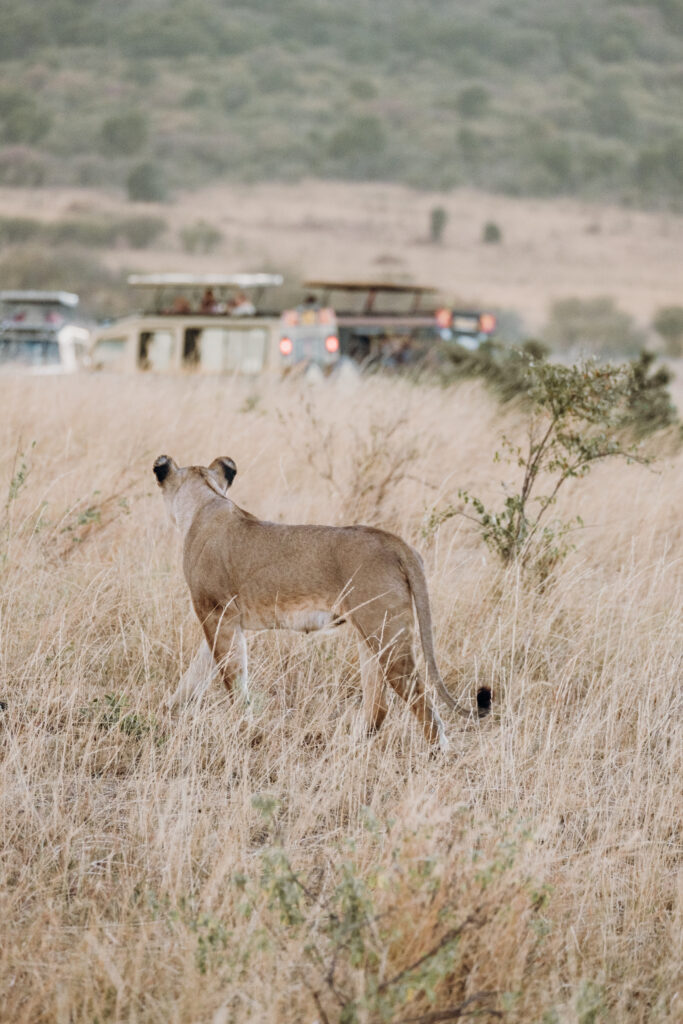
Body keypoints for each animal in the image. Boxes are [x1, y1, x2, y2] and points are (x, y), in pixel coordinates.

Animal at [153, 454, 491, 751]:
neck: (205, 502)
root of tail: (396, 542)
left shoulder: (215, 612)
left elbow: (231, 677)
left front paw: (244, 728)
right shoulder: (225, 619)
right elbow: (198, 672)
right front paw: (169, 710)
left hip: (385, 632)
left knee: (419, 697)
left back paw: (437, 752)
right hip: (371, 633)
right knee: (379, 703)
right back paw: (352, 747)